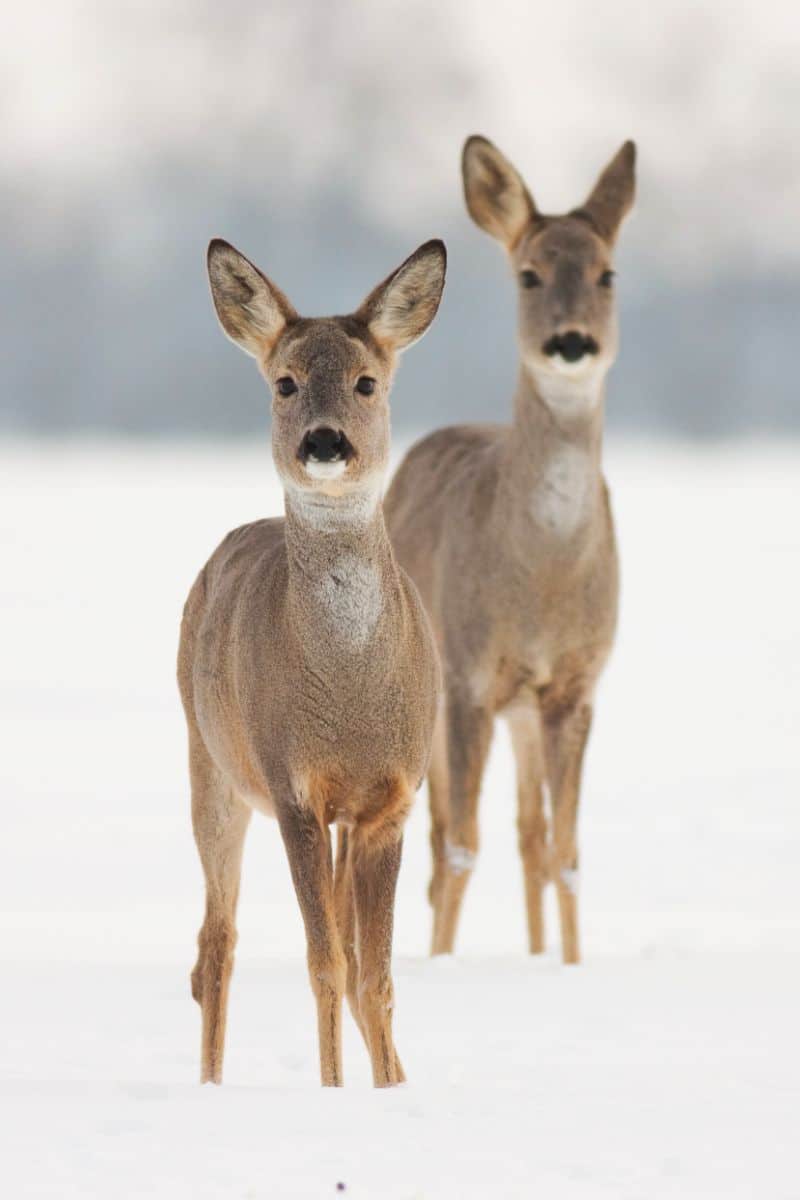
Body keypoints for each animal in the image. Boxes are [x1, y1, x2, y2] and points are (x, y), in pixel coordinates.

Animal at [177, 234, 448, 1089]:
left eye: (367, 381)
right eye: (286, 381)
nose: (324, 441)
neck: (350, 699)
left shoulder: (390, 798)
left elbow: (375, 973)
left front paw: (389, 1087)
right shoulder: (293, 786)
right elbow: (325, 963)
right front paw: (333, 1092)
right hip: (212, 766)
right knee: (215, 945)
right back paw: (210, 1084)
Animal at [383, 138, 633, 964]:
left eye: (606, 273)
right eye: (528, 274)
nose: (572, 342)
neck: (544, 580)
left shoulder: (575, 685)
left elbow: (566, 850)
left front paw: (570, 966)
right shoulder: (467, 677)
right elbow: (461, 844)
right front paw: (440, 964)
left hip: (524, 711)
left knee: (529, 835)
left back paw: (532, 953)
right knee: (435, 840)